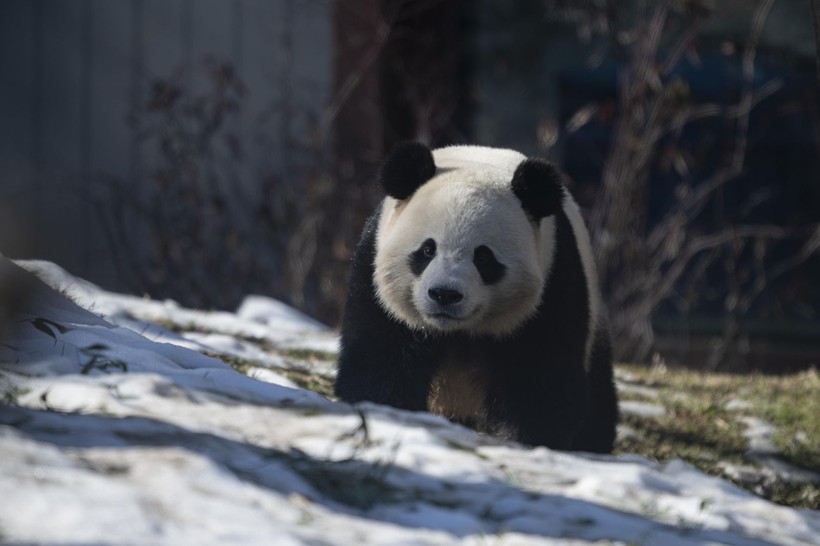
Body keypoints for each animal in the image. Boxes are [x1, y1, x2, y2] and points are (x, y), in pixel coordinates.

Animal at [336, 141, 620, 450]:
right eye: (427, 250)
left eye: (483, 257)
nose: (445, 294)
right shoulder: (375, 280)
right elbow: (380, 360)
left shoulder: (555, 282)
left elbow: (541, 381)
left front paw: (520, 440)